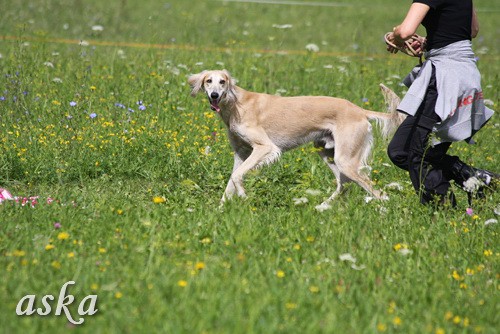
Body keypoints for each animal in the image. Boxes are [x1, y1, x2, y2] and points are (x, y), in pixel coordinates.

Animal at [188, 70, 402, 206]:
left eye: (222, 81)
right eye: (208, 81)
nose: (214, 95)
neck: (235, 104)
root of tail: (359, 110)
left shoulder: (265, 147)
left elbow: (237, 176)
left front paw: (243, 195)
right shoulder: (241, 153)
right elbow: (231, 179)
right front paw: (220, 210)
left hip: (346, 159)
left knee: (378, 192)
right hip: (328, 153)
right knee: (343, 185)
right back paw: (322, 207)